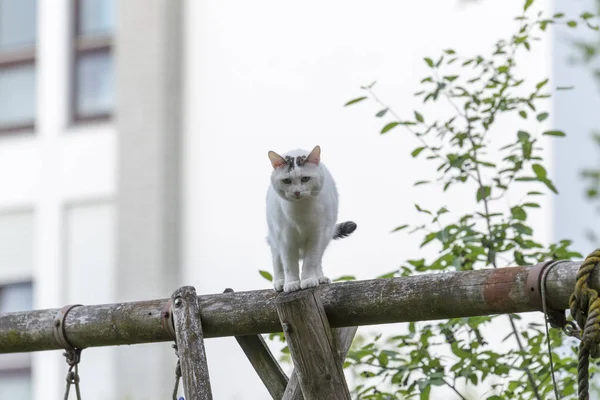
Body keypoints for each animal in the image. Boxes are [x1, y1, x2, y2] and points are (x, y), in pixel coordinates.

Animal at [264, 145, 356, 292]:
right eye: (287, 181)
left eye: (305, 179)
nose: (296, 192)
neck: (300, 211)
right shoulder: (285, 238)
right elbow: (289, 263)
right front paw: (291, 283)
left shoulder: (316, 235)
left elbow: (310, 261)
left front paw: (308, 280)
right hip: (274, 236)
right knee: (277, 260)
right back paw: (280, 282)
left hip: (326, 235)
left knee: (317, 259)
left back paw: (319, 277)